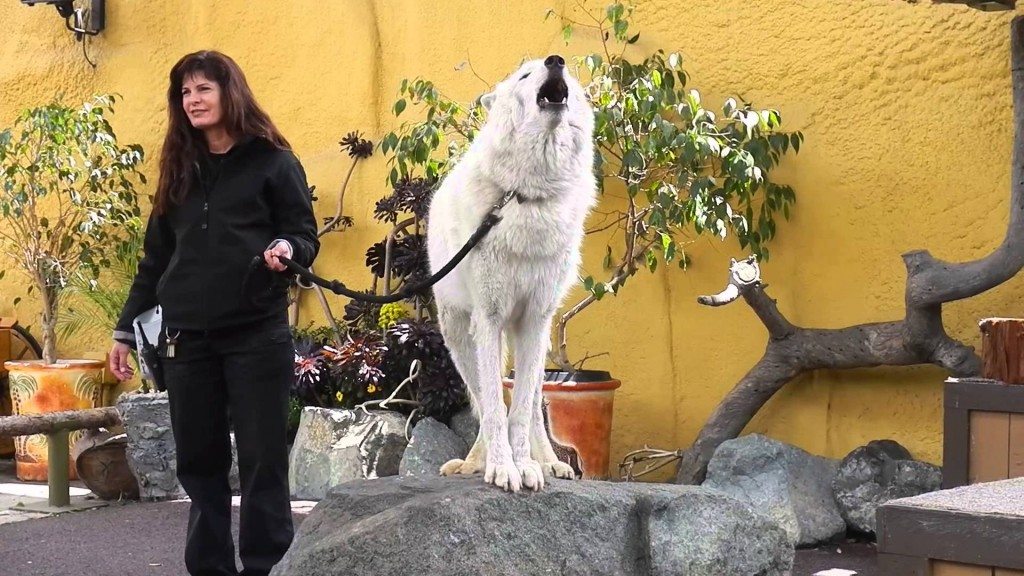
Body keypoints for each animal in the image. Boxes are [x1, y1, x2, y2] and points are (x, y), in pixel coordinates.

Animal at [427, 54, 597, 492]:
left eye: (565, 73)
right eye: (524, 74)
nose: (557, 60)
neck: (528, 197)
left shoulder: (534, 321)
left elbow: (519, 411)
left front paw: (527, 466)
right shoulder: (489, 319)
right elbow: (494, 408)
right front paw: (501, 468)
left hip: (534, 341)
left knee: (533, 405)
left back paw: (550, 463)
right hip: (461, 338)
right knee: (482, 402)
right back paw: (475, 462)